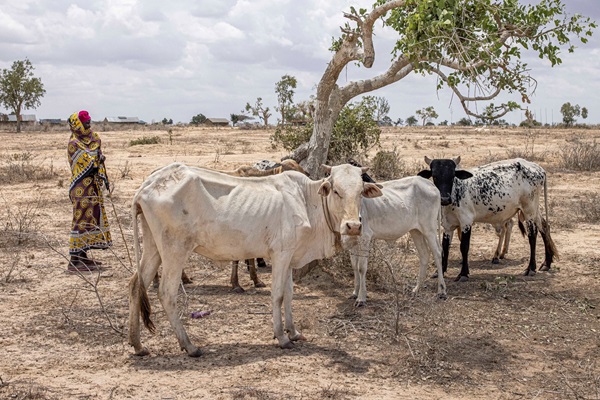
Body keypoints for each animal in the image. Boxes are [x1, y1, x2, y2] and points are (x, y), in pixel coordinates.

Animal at [128, 162, 382, 356]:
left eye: (360, 192)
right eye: (336, 191)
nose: (353, 226)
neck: (308, 202)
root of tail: (147, 185)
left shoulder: (290, 257)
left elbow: (289, 294)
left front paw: (294, 332)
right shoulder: (280, 255)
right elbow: (278, 295)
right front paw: (282, 337)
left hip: (153, 248)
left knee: (135, 285)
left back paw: (138, 345)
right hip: (175, 250)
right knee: (166, 293)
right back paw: (189, 346)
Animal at [344, 176, 448, 306]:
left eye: (360, 194)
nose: (358, 219)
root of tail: (430, 184)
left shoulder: (365, 238)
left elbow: (361, 268)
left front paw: (361, 298)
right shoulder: (352, 242)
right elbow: (354, 265)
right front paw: (355, 292)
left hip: (429, 229)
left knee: (437, 253)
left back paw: (441, 291)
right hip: (415, 231)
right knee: (424, 254)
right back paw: (416, 289)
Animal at [418, 156, 556, 282]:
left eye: (452, 176)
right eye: (435, 176)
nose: (445, 199)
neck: (456, 191)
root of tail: (538, 168)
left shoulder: (466, 222)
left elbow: (464, 247)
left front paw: (463, 274)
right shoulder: (448, 225)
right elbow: (445, 247)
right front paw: (440, 271)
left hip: (529, 210)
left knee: (532, 235)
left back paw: (530, 268)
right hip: (534, 210)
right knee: (544, 227)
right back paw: (546, 263)